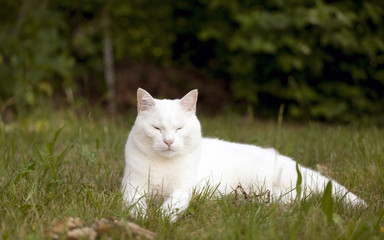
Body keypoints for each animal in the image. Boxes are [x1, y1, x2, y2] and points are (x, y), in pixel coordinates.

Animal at [122, 88, 366, 221]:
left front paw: (162, 218)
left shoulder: (183, 189)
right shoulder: (132, 186)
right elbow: (135, 203)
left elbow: (173, 203)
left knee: (299, 195)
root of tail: (277, 156)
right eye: (156, 128)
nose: (169, 141)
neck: (164, 164)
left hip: (263, 181)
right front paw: (142, 217)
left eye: (179, 128)